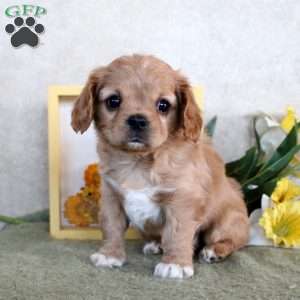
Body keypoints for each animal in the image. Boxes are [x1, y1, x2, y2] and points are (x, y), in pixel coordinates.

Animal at [71, 54, 250, 278]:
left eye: (163, 105)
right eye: (113, 101)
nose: (137, 120)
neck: (138, 162)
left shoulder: (182, 201)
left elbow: (177, 233)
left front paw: (175, 264)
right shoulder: (111, 196)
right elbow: (111, 226)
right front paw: (110, 255)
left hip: (227, 221)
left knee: (232, 241)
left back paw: (214, 251)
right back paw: (156, 244)